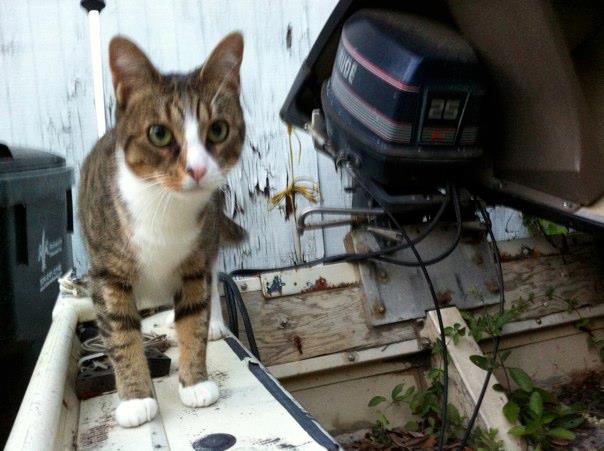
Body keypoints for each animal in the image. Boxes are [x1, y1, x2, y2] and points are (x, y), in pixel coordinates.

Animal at [79, 33, 247, 430]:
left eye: (218, 129)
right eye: (159, 134)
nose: (198, 170)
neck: (165, 206)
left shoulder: (195, 260)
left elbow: (194, 317)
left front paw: (195, 382)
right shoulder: (106, 273)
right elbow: (120, 333)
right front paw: (136, 399)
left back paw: (215, 323)